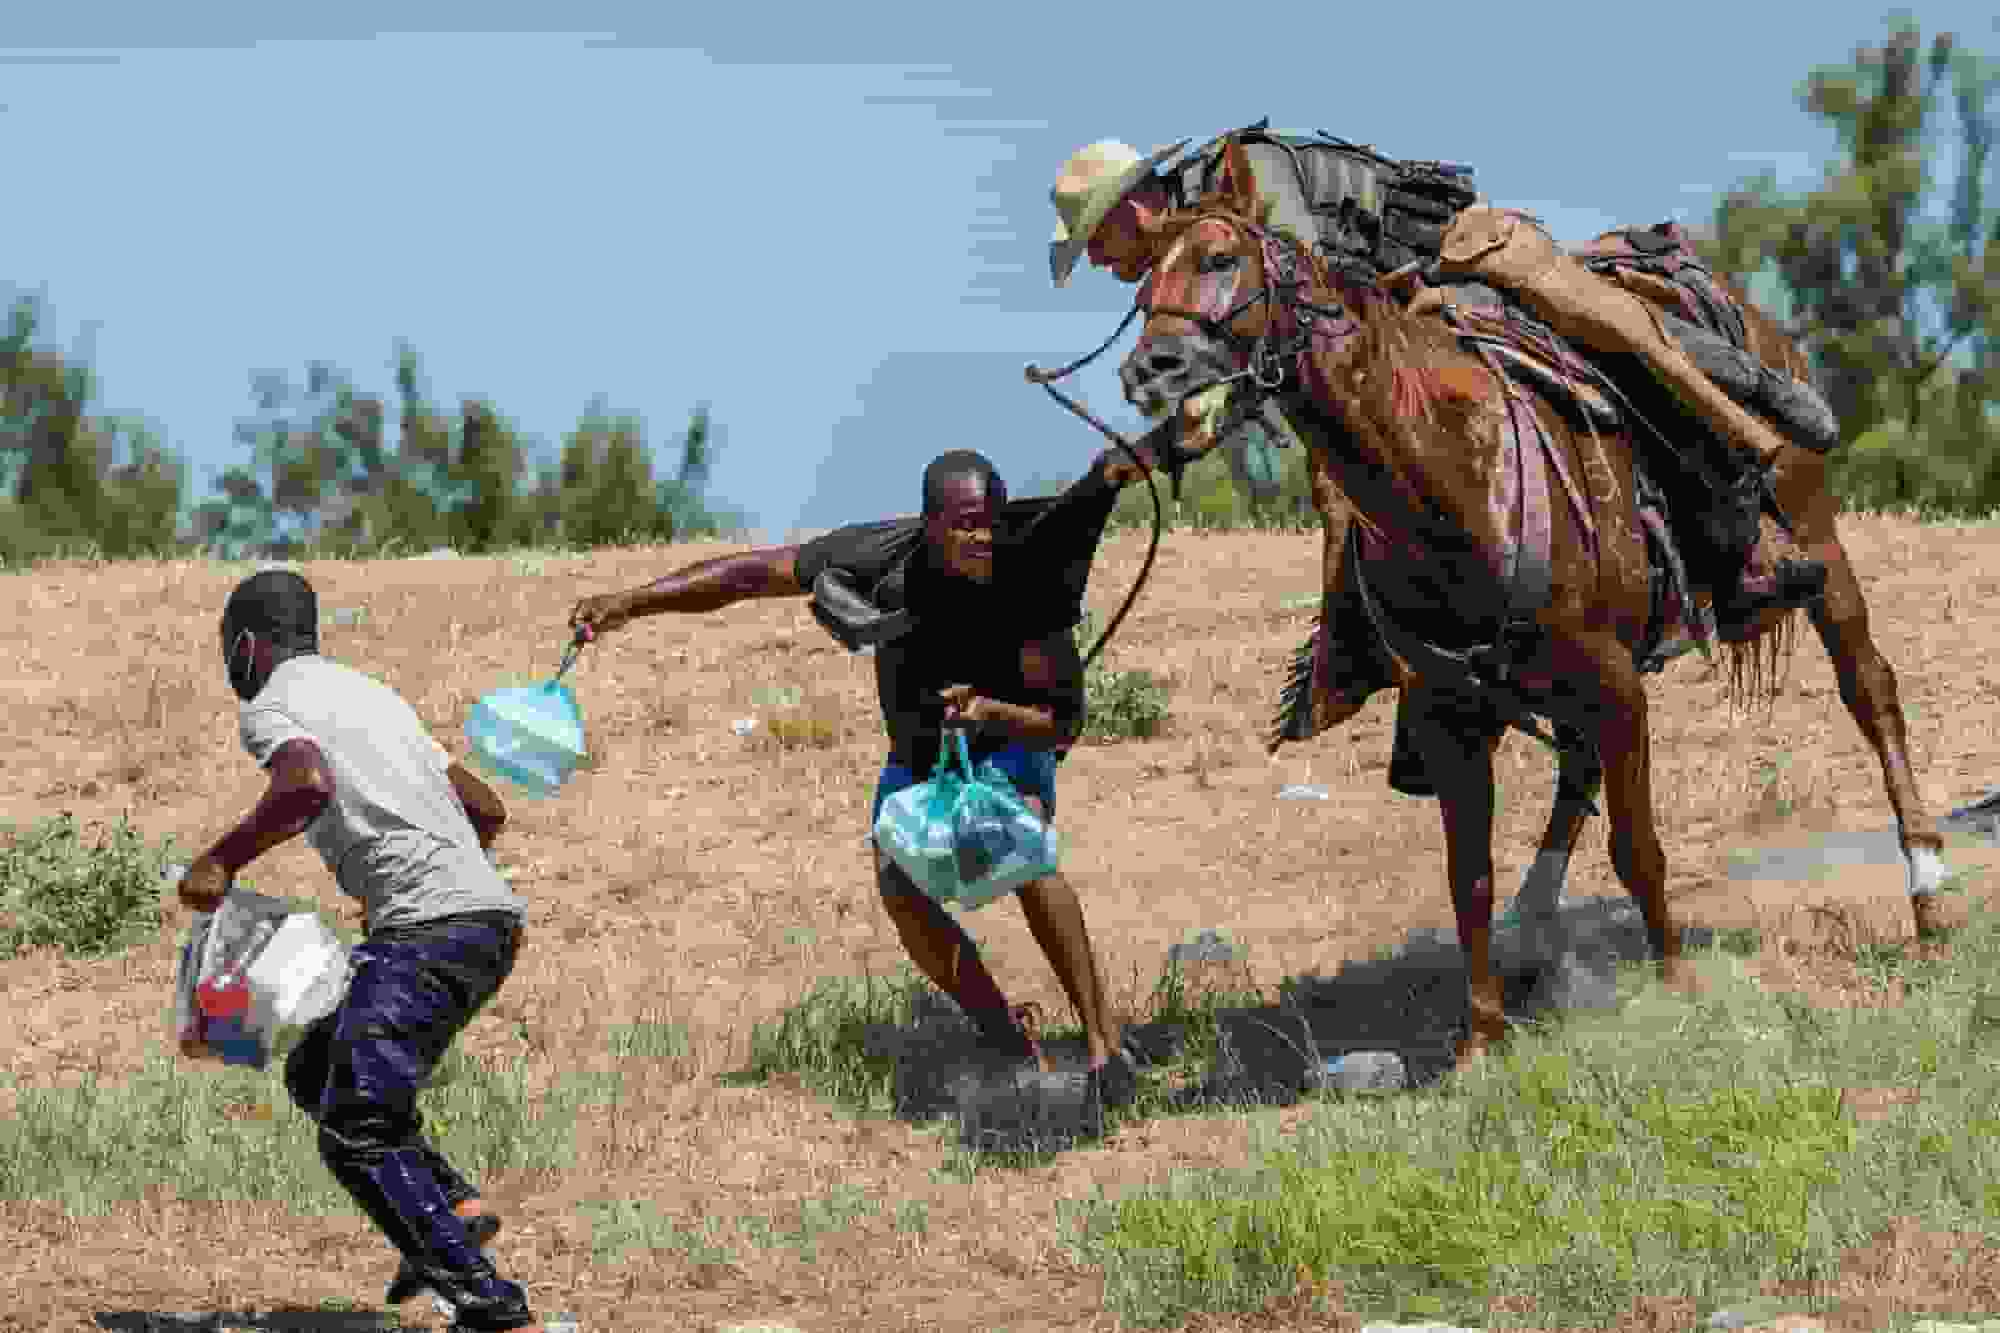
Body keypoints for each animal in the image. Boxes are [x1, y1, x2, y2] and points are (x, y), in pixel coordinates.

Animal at [1120, 137, 1944, 1072]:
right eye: (1143, 289)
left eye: (1221, 259)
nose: (1148, 369)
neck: (1450, 474)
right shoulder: (1452, 716)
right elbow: (1468, 876)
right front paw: (1481, 1037)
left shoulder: (1617, 680)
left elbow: (1637, 846)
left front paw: (1677, 982)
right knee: (1577, 767)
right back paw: (1530, 934)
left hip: (1819, 547)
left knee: (1870, 692)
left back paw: (1928, 893)